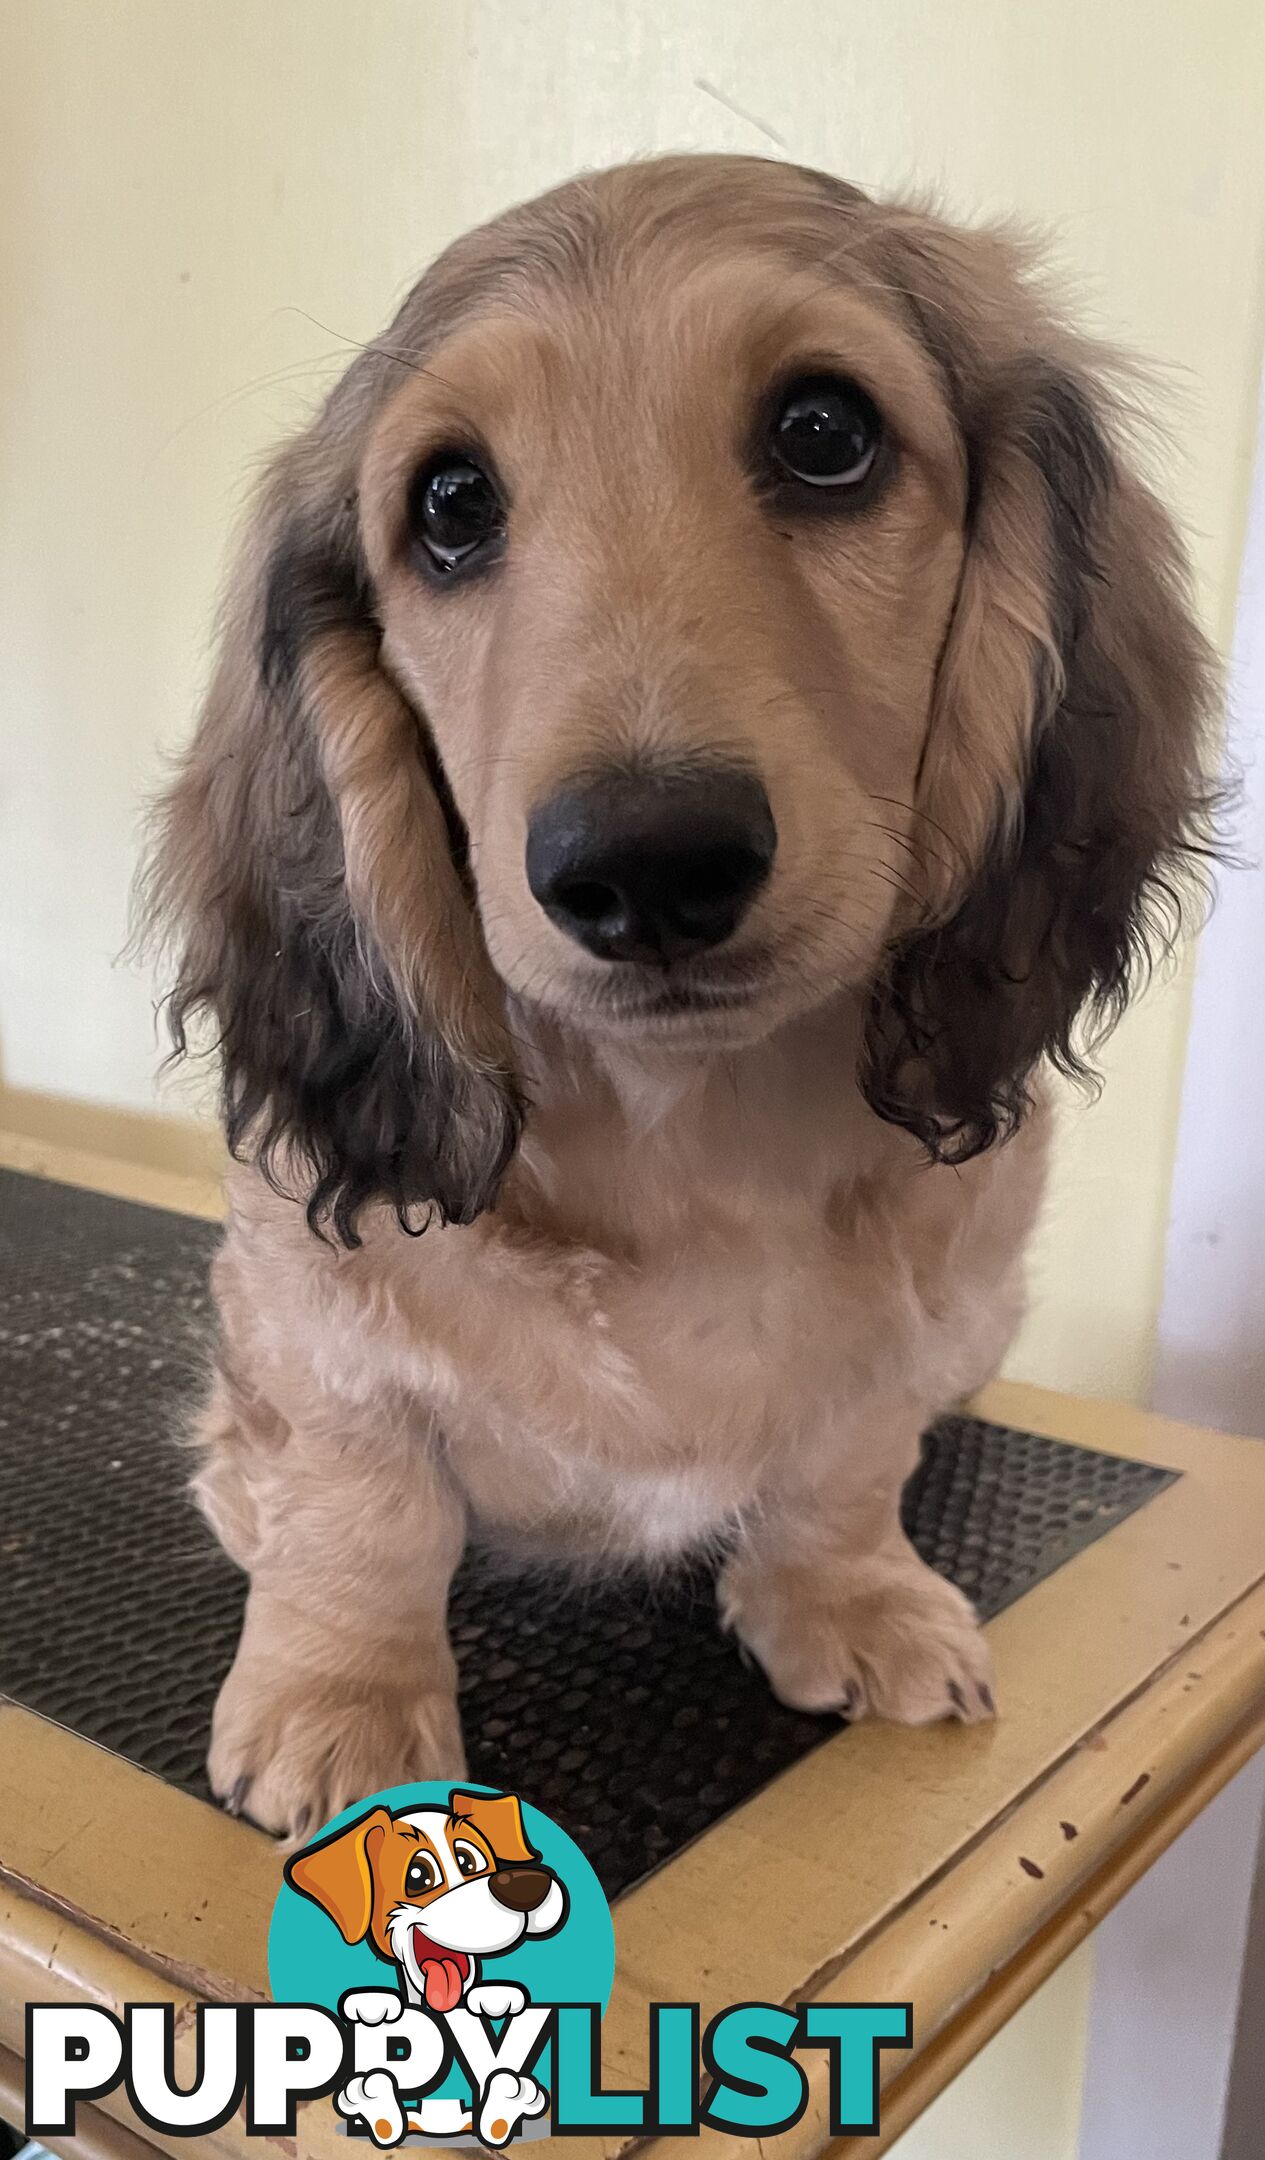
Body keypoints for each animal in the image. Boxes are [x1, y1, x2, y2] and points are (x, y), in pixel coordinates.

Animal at [145, 159, 1208, 1831]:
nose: (644, 866)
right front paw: (341, 1701)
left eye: (825, 431)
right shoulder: (304, 1315)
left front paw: (848, 1598)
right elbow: (360, 1500)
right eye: (449, 504)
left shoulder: (925, 1317)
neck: (686, 1140)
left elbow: (847, 1453)